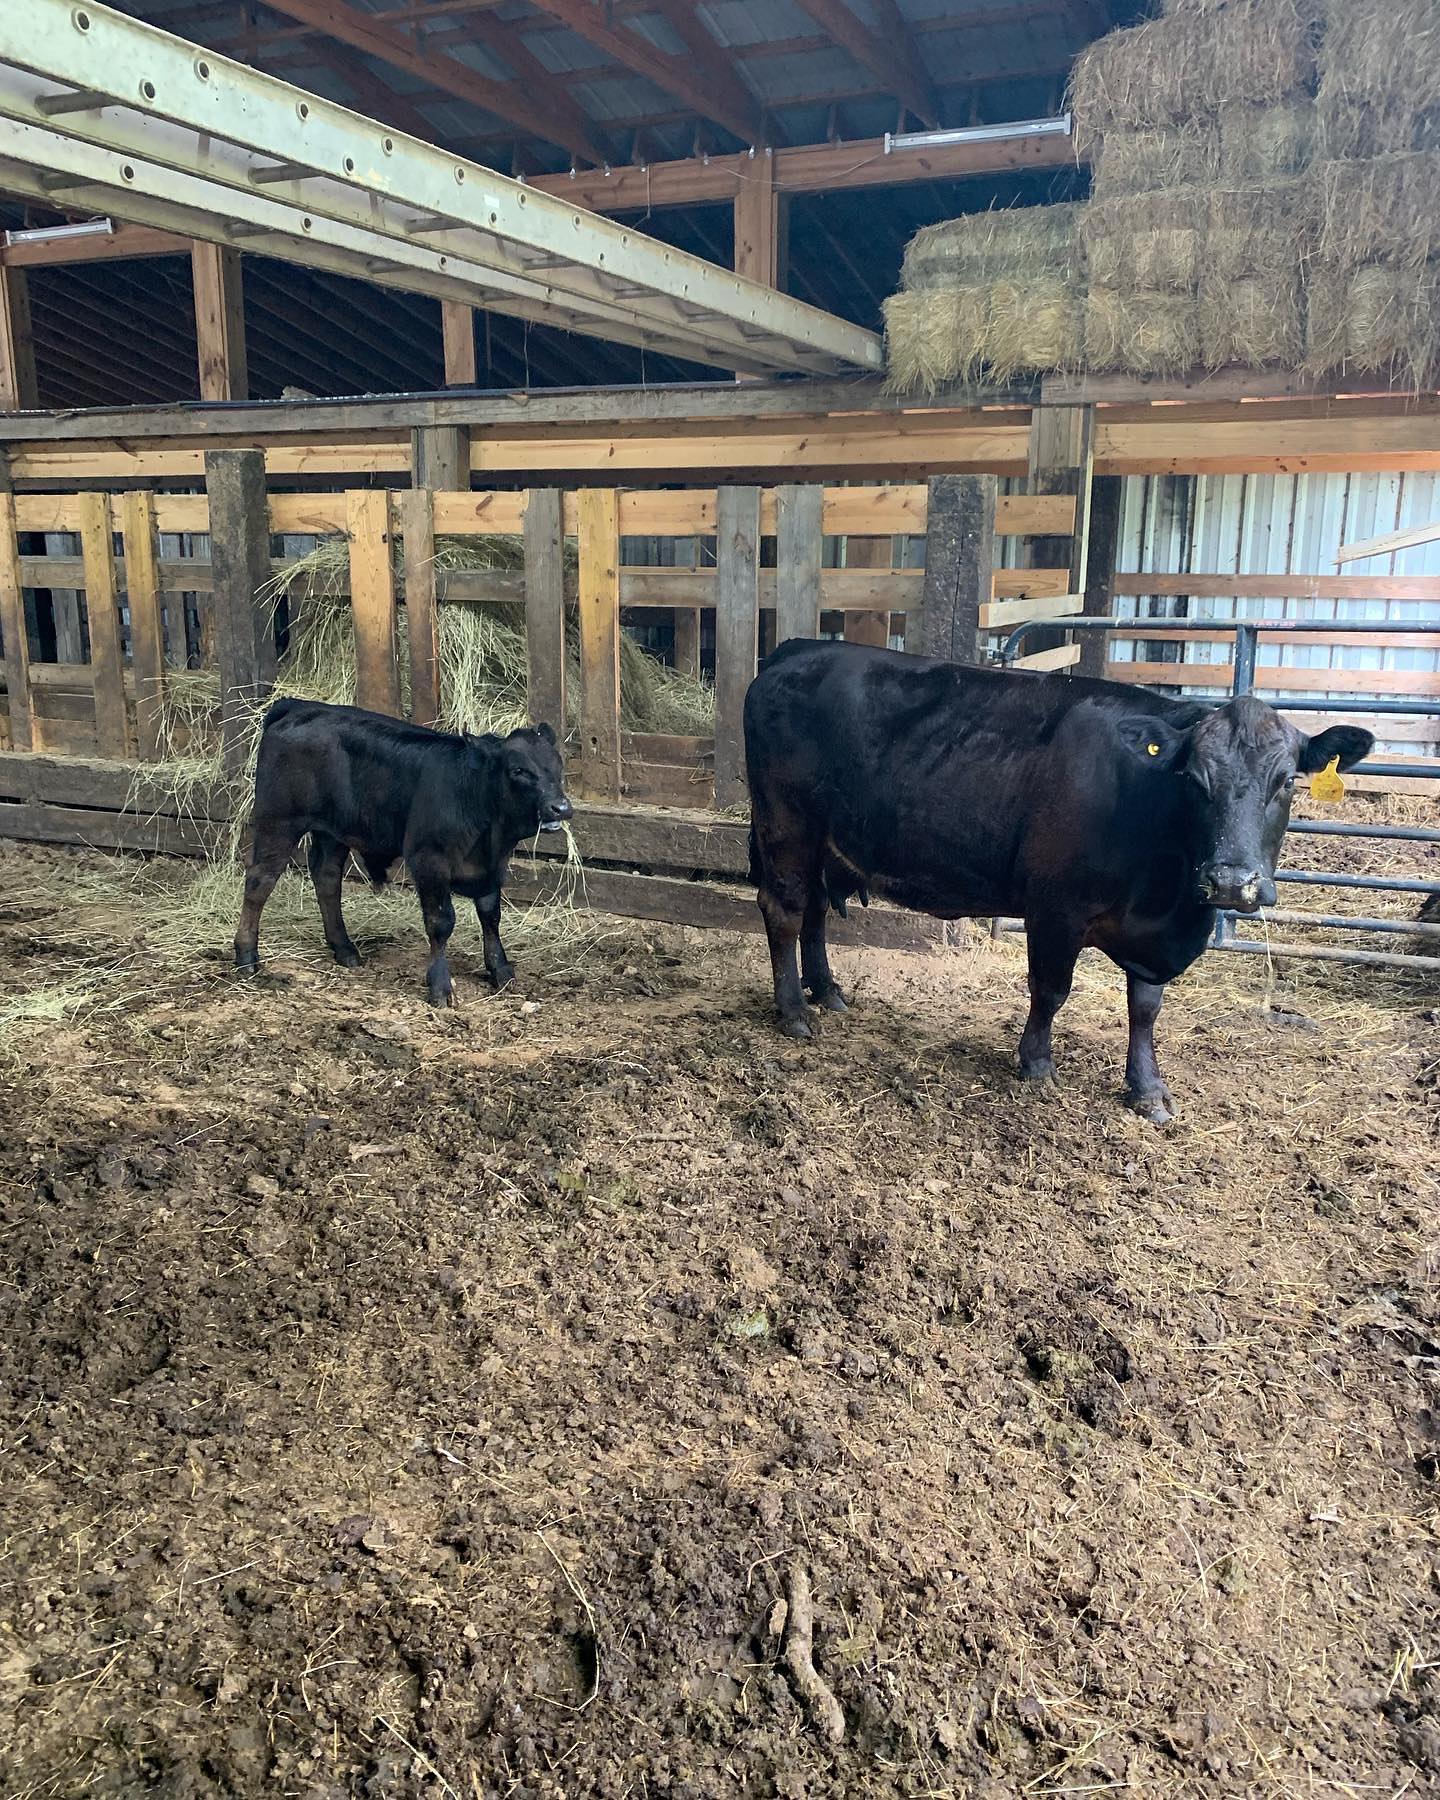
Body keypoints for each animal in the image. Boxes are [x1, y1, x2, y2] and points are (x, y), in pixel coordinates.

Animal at [234, 699, 572, 1005]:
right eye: (519, 770)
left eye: (558, 766)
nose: (561, 807)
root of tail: (297, 705)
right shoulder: (429, 860)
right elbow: (440, 922)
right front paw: (440, 986)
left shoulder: (492, 866)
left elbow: (490, 915)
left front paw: (500, 970)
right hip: (280, 821)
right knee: (260, 881)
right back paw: (247, 957)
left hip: (332, 832)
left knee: (327, 878)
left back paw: (345, 948)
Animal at [743, 640, 1373, 1123]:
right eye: (1194, 779)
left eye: (1287, 780)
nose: (1229, 881)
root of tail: (798, 650)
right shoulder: (1055, 908)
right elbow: (1051, 989)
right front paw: (1037, 1065)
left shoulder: (1150, 936)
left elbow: (1146, 1007)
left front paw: (1148, 1090)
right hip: (787, 826)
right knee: (784, 909)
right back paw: (794, 1012)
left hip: (822, 841)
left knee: (814, 909)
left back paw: (827, 991)